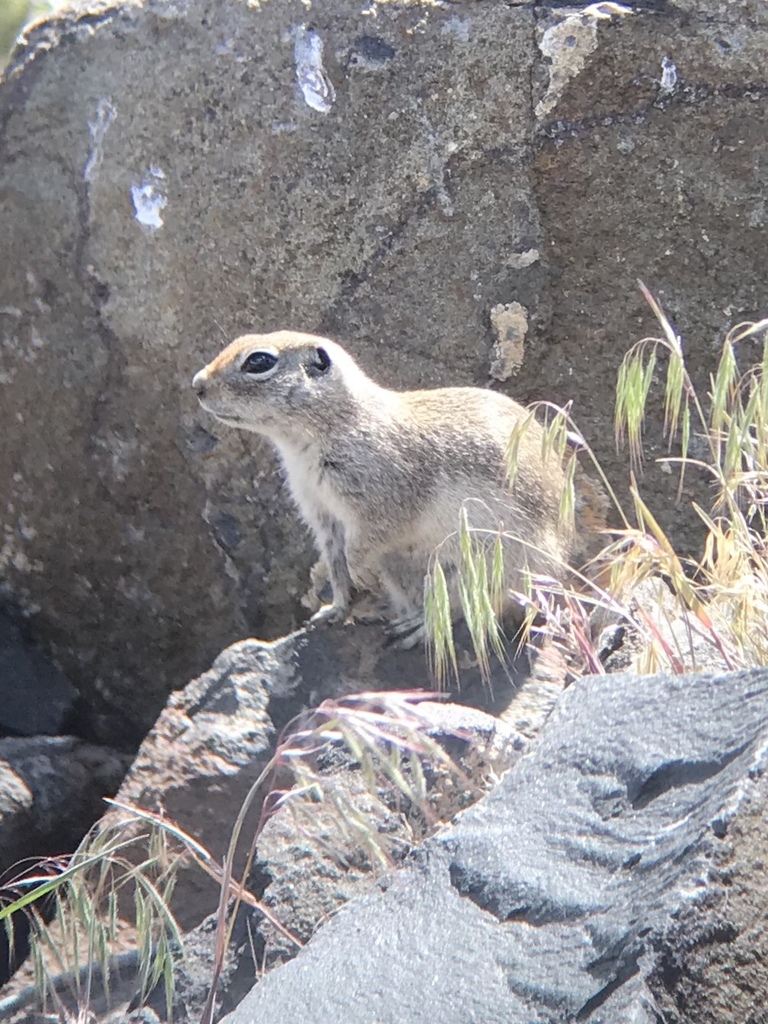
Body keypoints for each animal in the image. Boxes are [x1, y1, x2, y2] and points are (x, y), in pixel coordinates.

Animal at [192, 331, 606, 646]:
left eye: (258, 362)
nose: (197, 384)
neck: (335, 426)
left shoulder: (380, 503)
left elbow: (362, 547)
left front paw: (360, 577)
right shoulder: (322, 514)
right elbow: (335, 566)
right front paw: (334, 610)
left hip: (487, 565)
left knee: (475, 607)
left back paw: (417, 625)